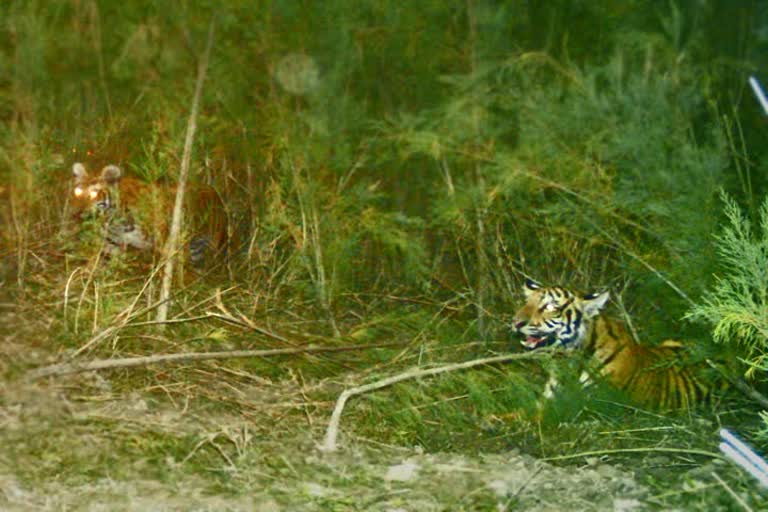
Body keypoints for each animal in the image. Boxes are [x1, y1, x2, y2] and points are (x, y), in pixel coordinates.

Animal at [70, 163, 228, 268]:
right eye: (77, 192)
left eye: (94, 194)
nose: (76, 213)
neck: (115, 219)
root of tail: (213, 190)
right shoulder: (112, 245)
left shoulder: (165, 246)